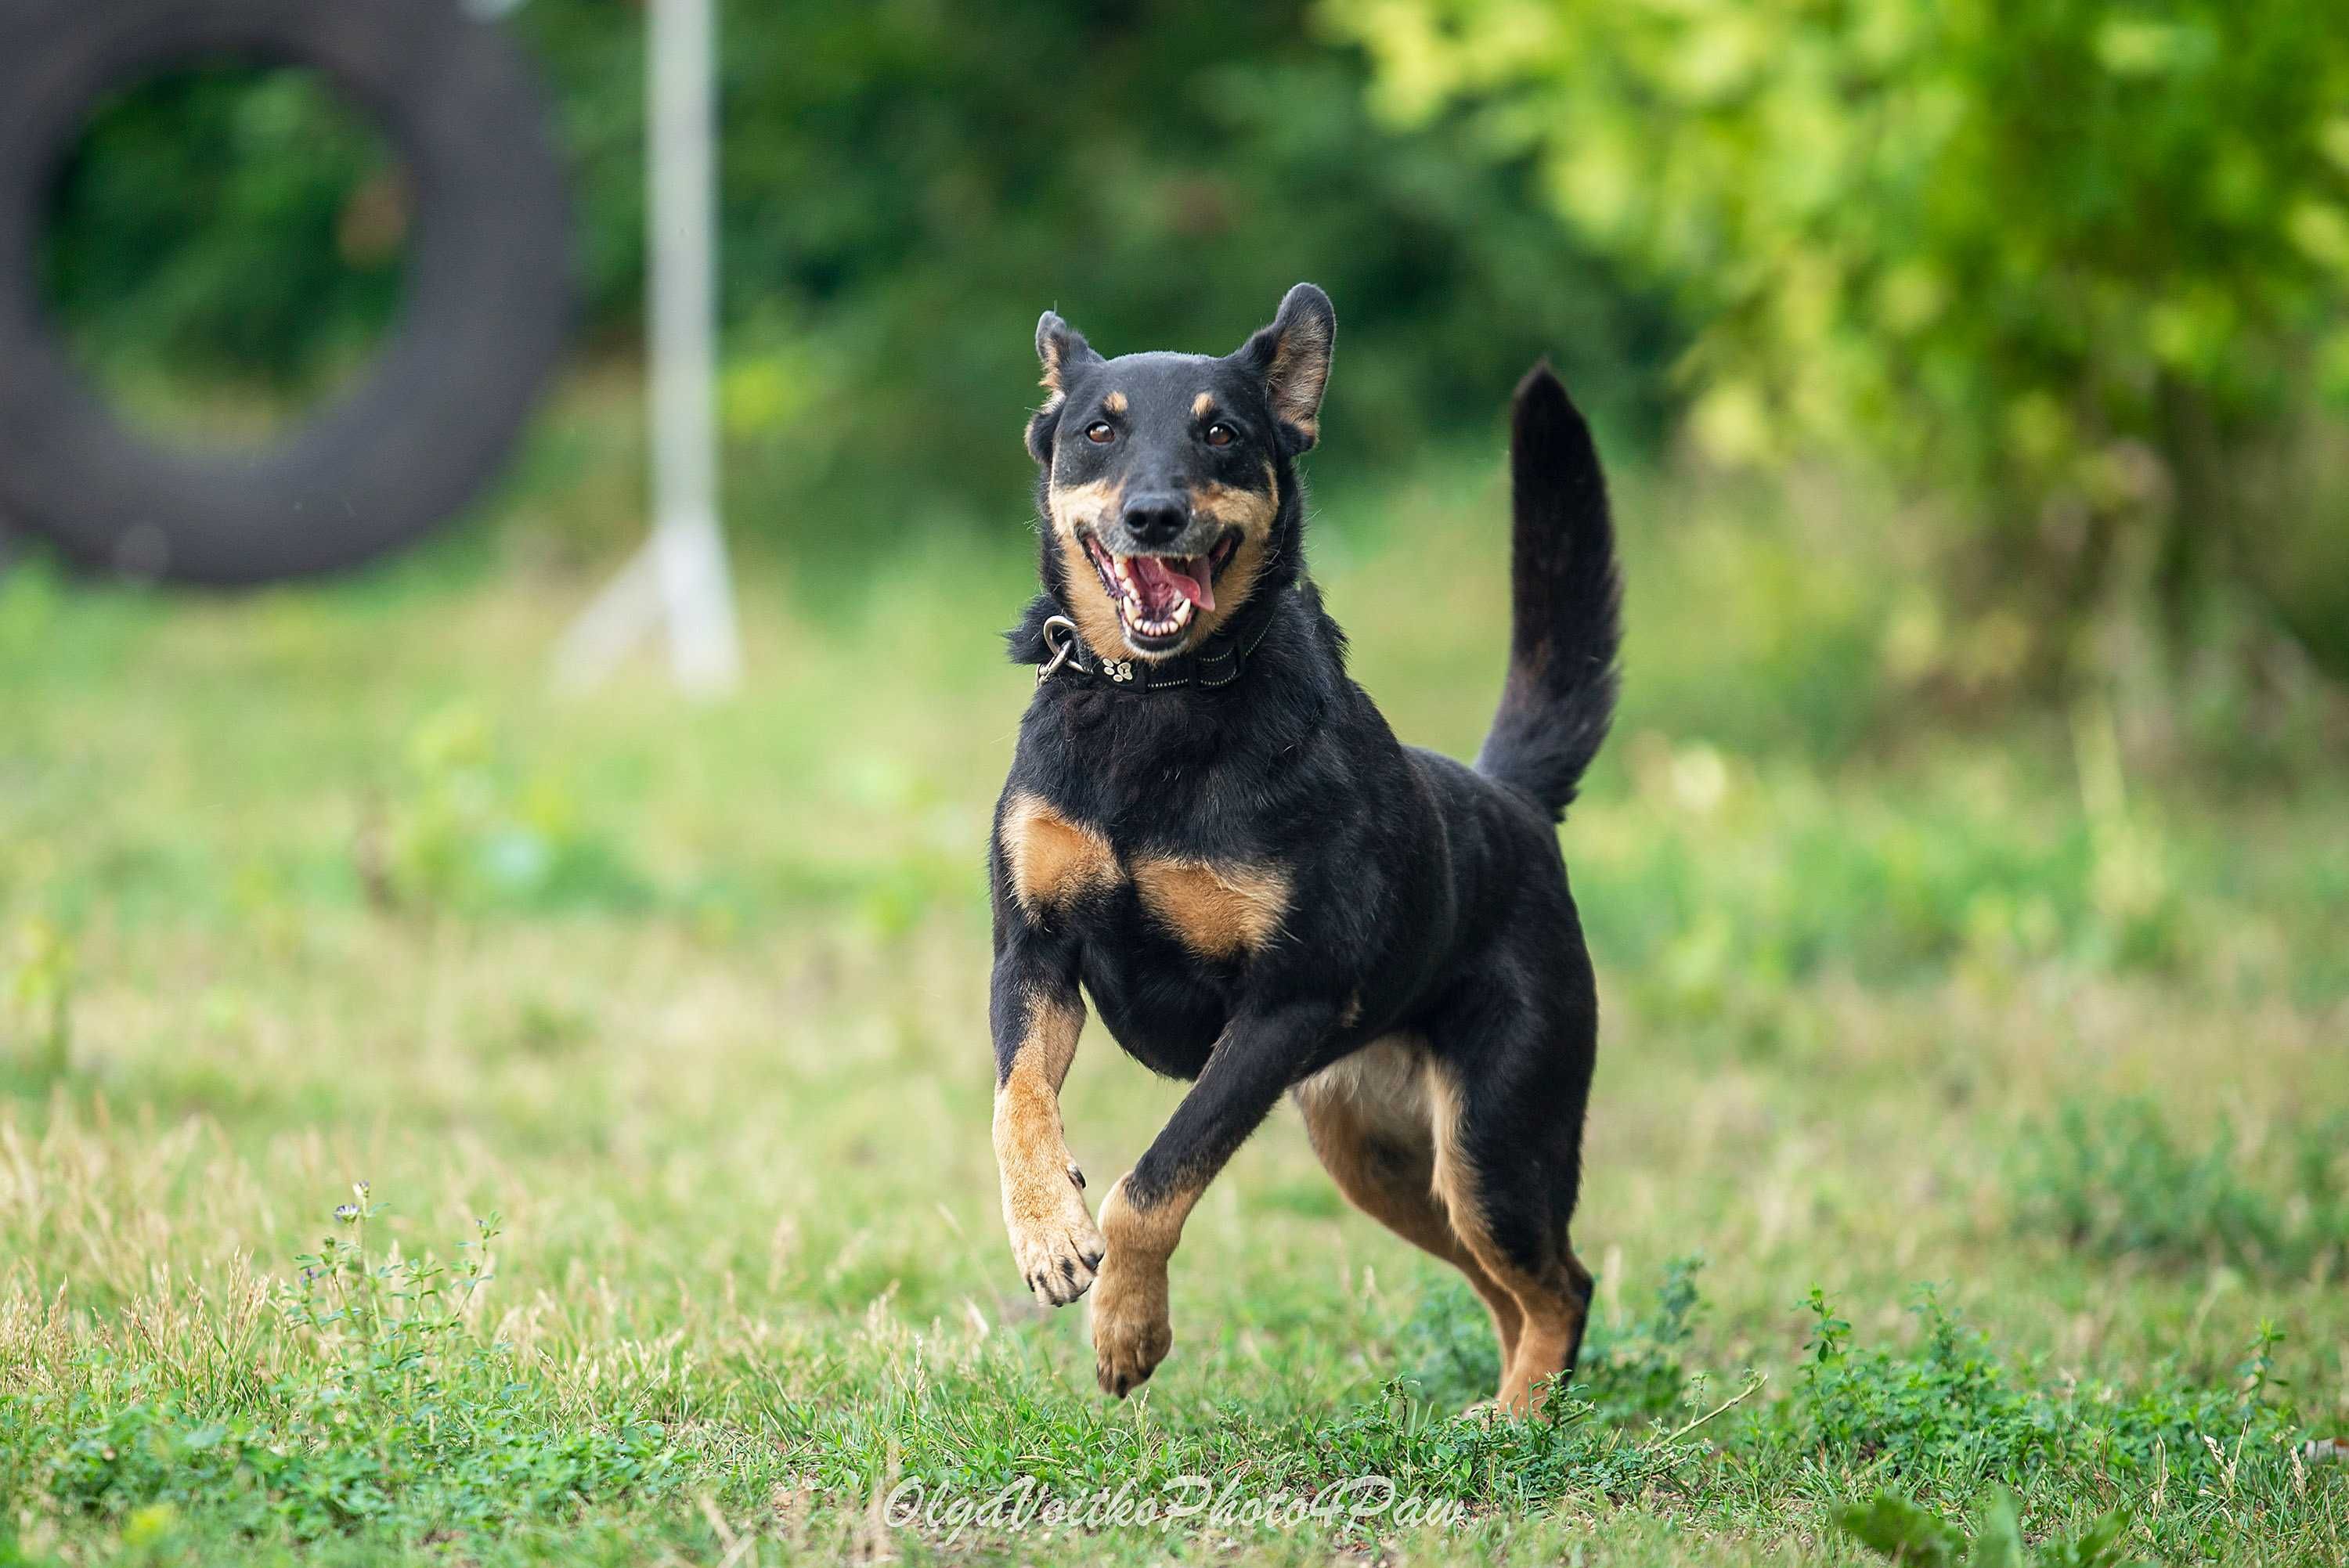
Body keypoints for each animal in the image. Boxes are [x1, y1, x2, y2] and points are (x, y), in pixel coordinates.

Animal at [987, 285, 1616, 1418]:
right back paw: (1494, 1419)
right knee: (1506, 1287)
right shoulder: (1033, 953)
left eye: (1222, 434)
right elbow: (1018, 1105)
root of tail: (1511, 799)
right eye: (1097, 431)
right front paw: (1050, 1232)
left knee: (1562, 1282)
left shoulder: (1284, 1005)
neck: (1160, 701)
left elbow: (1154, 1180)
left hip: (1496, 1136)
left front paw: (1128, 1328)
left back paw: (1518, 1424)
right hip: (1380, 1154)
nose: (1154, 515)